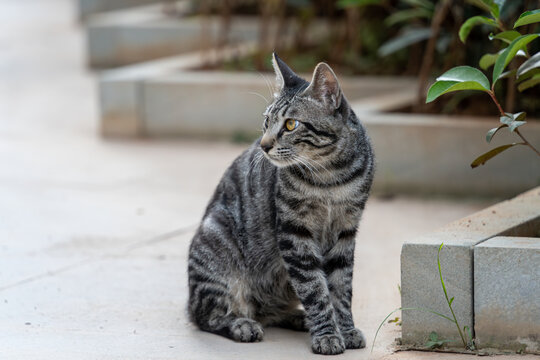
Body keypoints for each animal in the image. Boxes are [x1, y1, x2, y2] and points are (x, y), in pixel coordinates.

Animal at [188, 53, 374, 354]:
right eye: (266, 120)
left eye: (290, 124)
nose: (264, 145)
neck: (330, 177)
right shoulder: (294, 232)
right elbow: (314, 288)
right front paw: (327, 335)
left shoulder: (346, 230)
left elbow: (340, 289)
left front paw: (344, 329)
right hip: (216, 244)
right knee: (207, 314)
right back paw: (243, 324)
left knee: (268, 311)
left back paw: (297, 317)